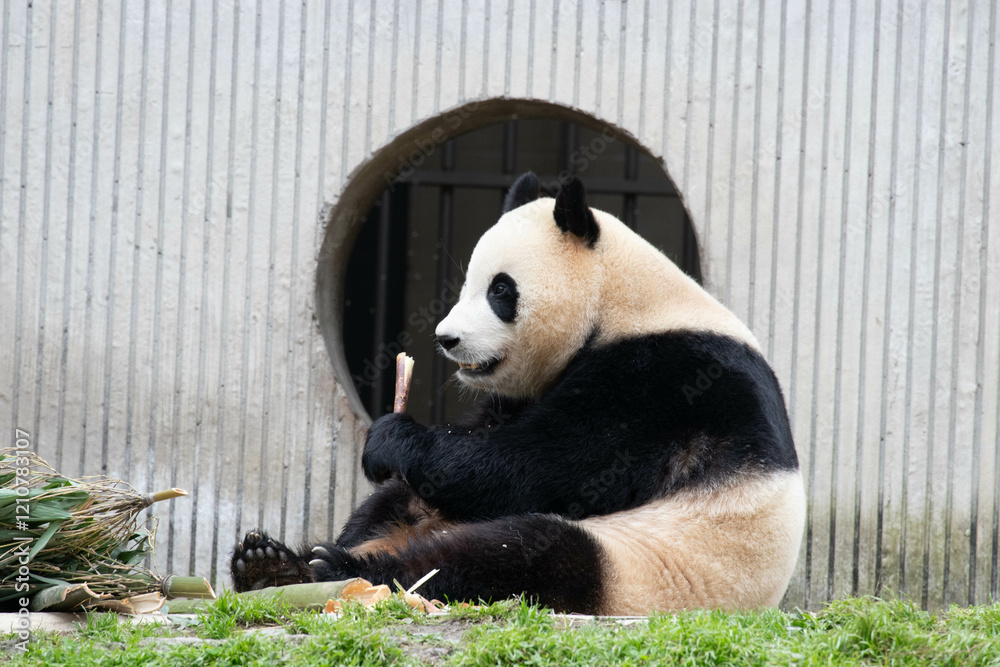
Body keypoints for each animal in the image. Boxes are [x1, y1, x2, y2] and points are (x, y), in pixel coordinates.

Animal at [231, 172, 806, 615]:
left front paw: (393, 438)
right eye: (468, 284)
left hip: (639, 565)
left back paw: (332, 569)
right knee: (397, 505)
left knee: (517, 555)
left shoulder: (667, 381)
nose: (446, 338)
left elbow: (546, 466)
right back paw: (271, 562)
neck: (623, 302)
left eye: (501, 290)